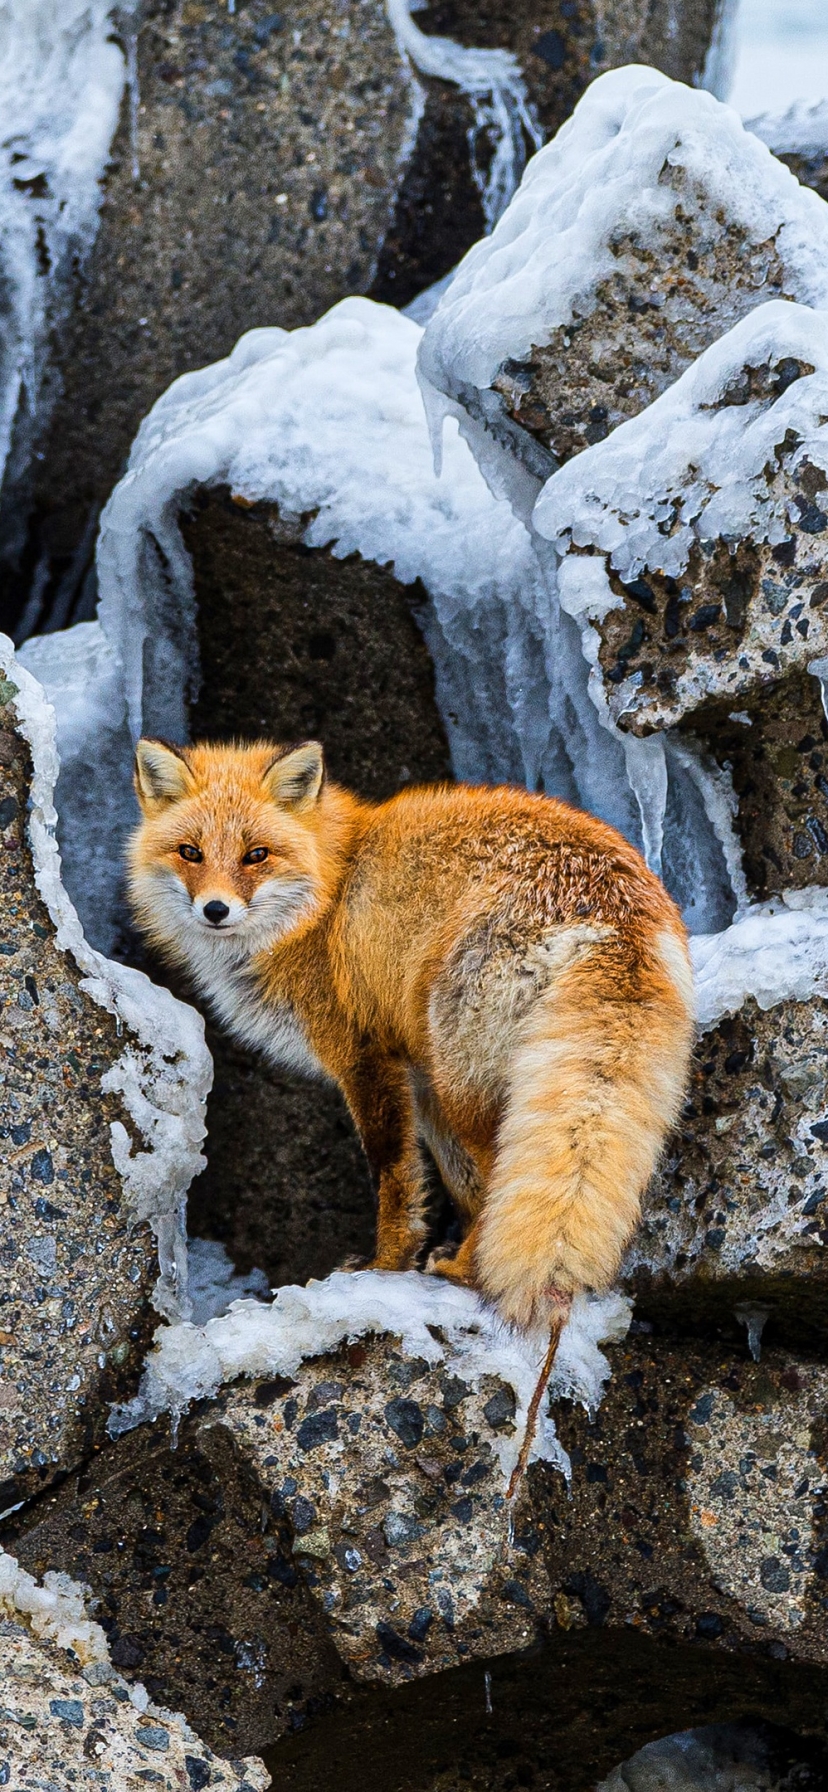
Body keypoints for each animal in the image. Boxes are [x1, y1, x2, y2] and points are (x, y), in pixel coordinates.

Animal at [129, 734, 695, 1340]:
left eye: (256, 855)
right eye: (190, 852)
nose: (215, 910)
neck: (325, 901)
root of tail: (613, 912)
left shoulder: (366, 1057)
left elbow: (395, 1176)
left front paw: (385, 1266)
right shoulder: (418, 1074)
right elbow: (458, 1181)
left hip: (464, 1080)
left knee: (501, 1173)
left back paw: (465, 1273)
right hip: (463, 1076)